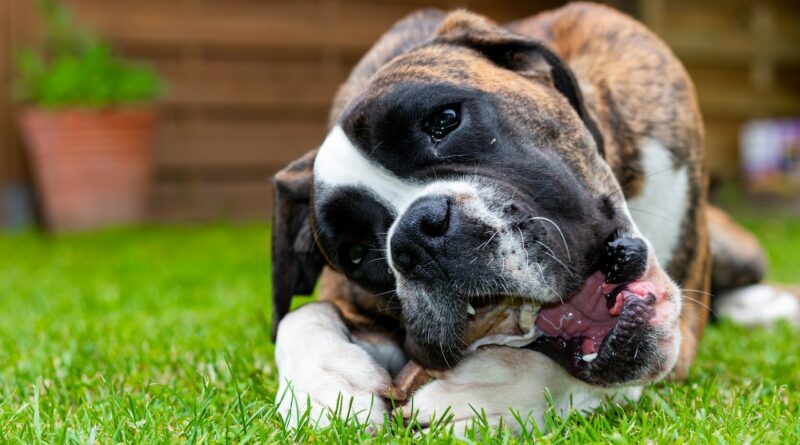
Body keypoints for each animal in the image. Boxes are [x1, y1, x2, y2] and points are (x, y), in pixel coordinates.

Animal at [270, 1, 800, 428]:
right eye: (359, 252)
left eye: (445, 120)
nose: (416, 236)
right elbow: (299, 315)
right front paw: (326, 388)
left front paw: (479, 393)